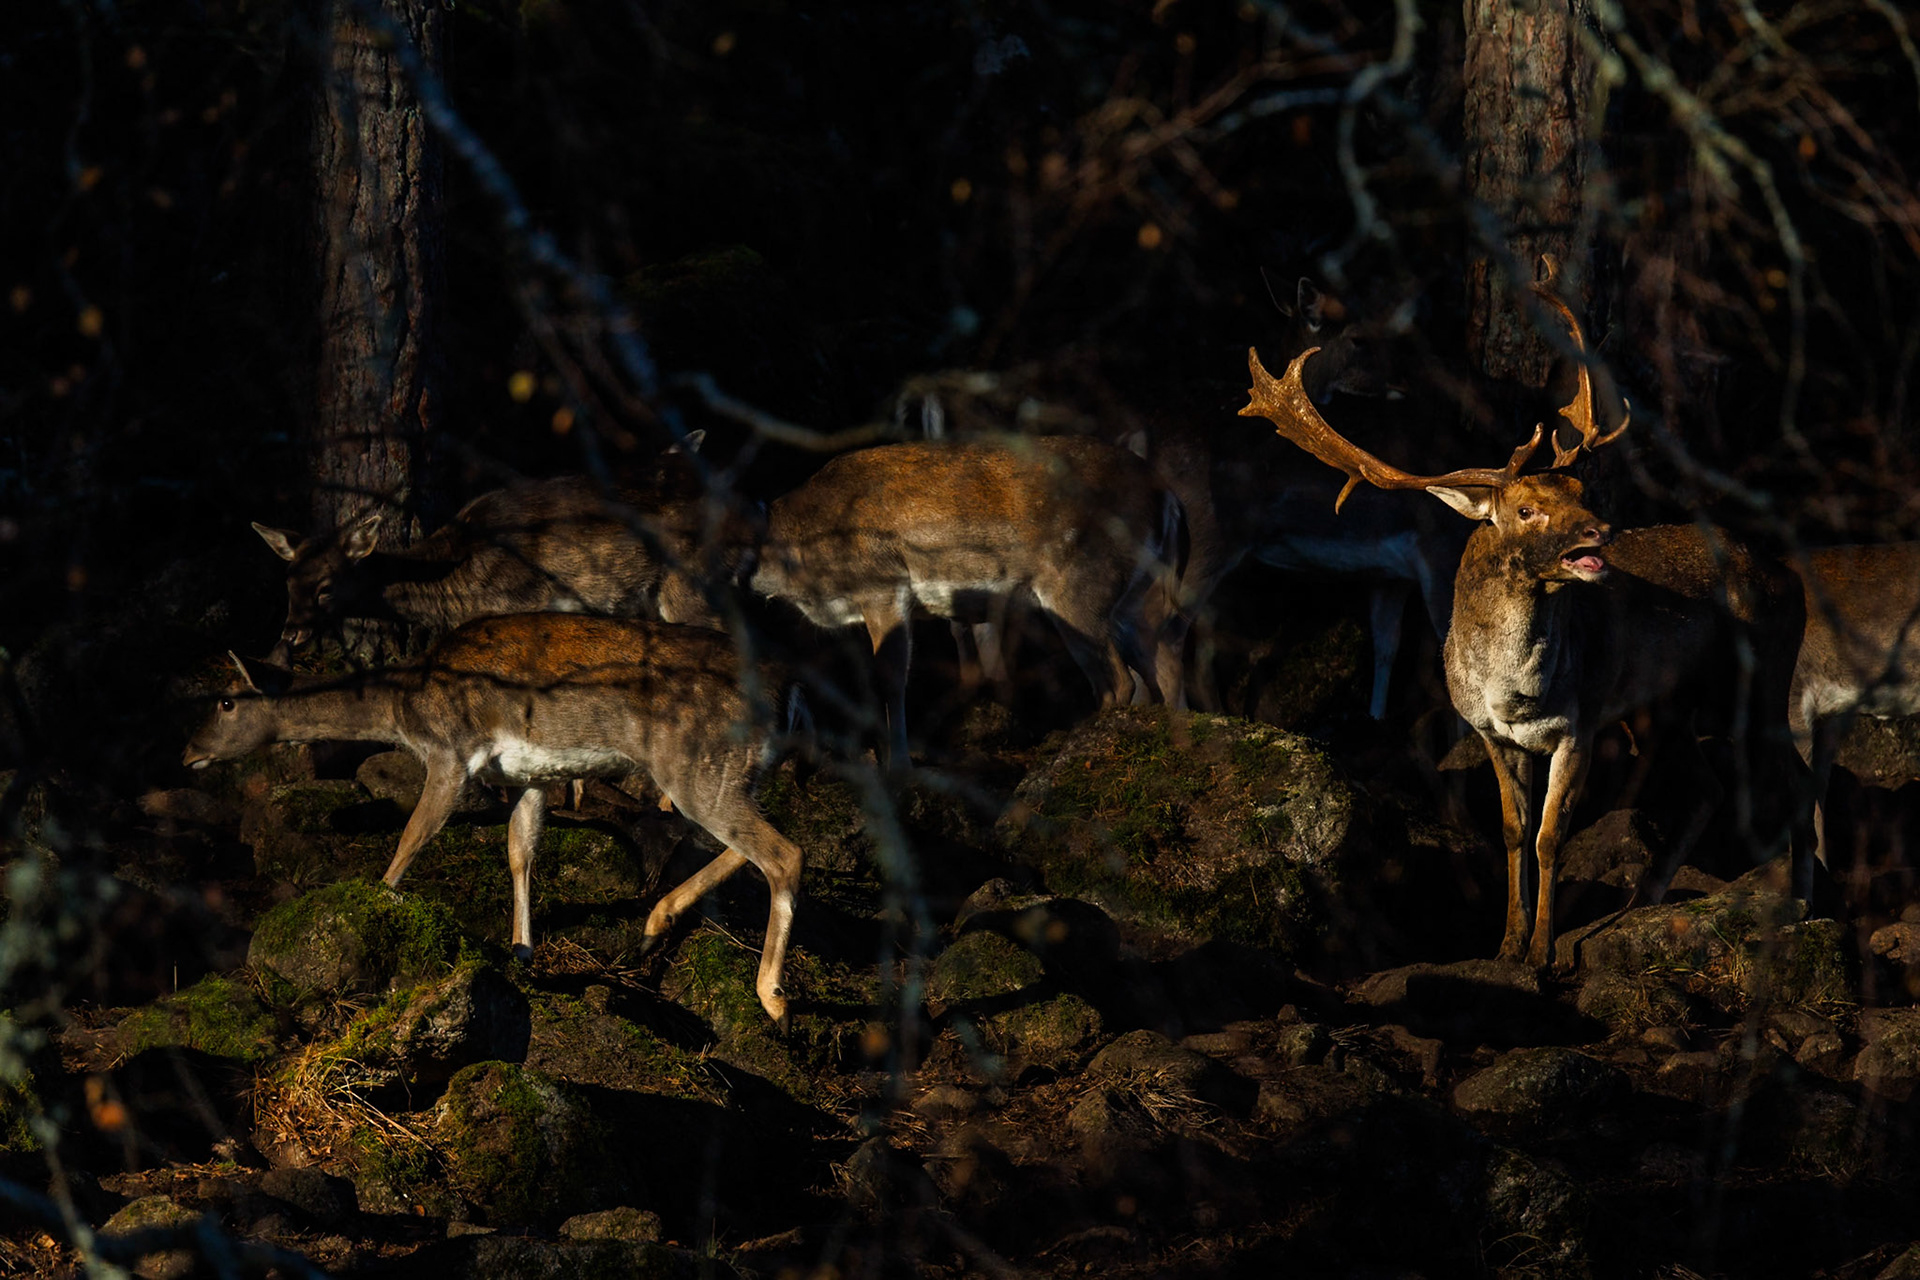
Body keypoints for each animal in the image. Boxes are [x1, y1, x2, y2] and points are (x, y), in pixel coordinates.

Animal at [182, 613, 810, 1029]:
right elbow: (519, 849)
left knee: (786, 853)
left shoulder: (449, 751)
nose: (187, 752)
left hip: (699, 765)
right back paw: (653, 927)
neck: (402, 710)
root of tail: (791, 696)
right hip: (733, 774)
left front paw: (373, 914)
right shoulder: (530, 774)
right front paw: (522, 953)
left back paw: (774, 999)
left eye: (227, 701)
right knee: (752, 847)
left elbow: (412, 839)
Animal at [745, 435, 1186, 766]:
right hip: (1133, 596)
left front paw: (899, 765)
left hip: (1080, 585)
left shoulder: (882, 583)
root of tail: (1168, 494)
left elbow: (890, 676)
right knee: (1160, 663)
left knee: (1121, 677)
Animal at [1241, 278, 1815, 967]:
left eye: (1580, 492)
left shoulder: (1580, 725)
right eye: (1524, 509)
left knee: (1797, 778)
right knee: (1709, 788)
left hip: (1762, 674)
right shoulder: (1492, 733)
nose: (1600, 531)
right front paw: (1506, 944)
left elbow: (1550, 836)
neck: (1513, 692)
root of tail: (1788, 576)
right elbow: (1513, 833)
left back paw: (1806, 905)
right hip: (1665, 705)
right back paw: (1644, 900)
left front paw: (1544, 952)